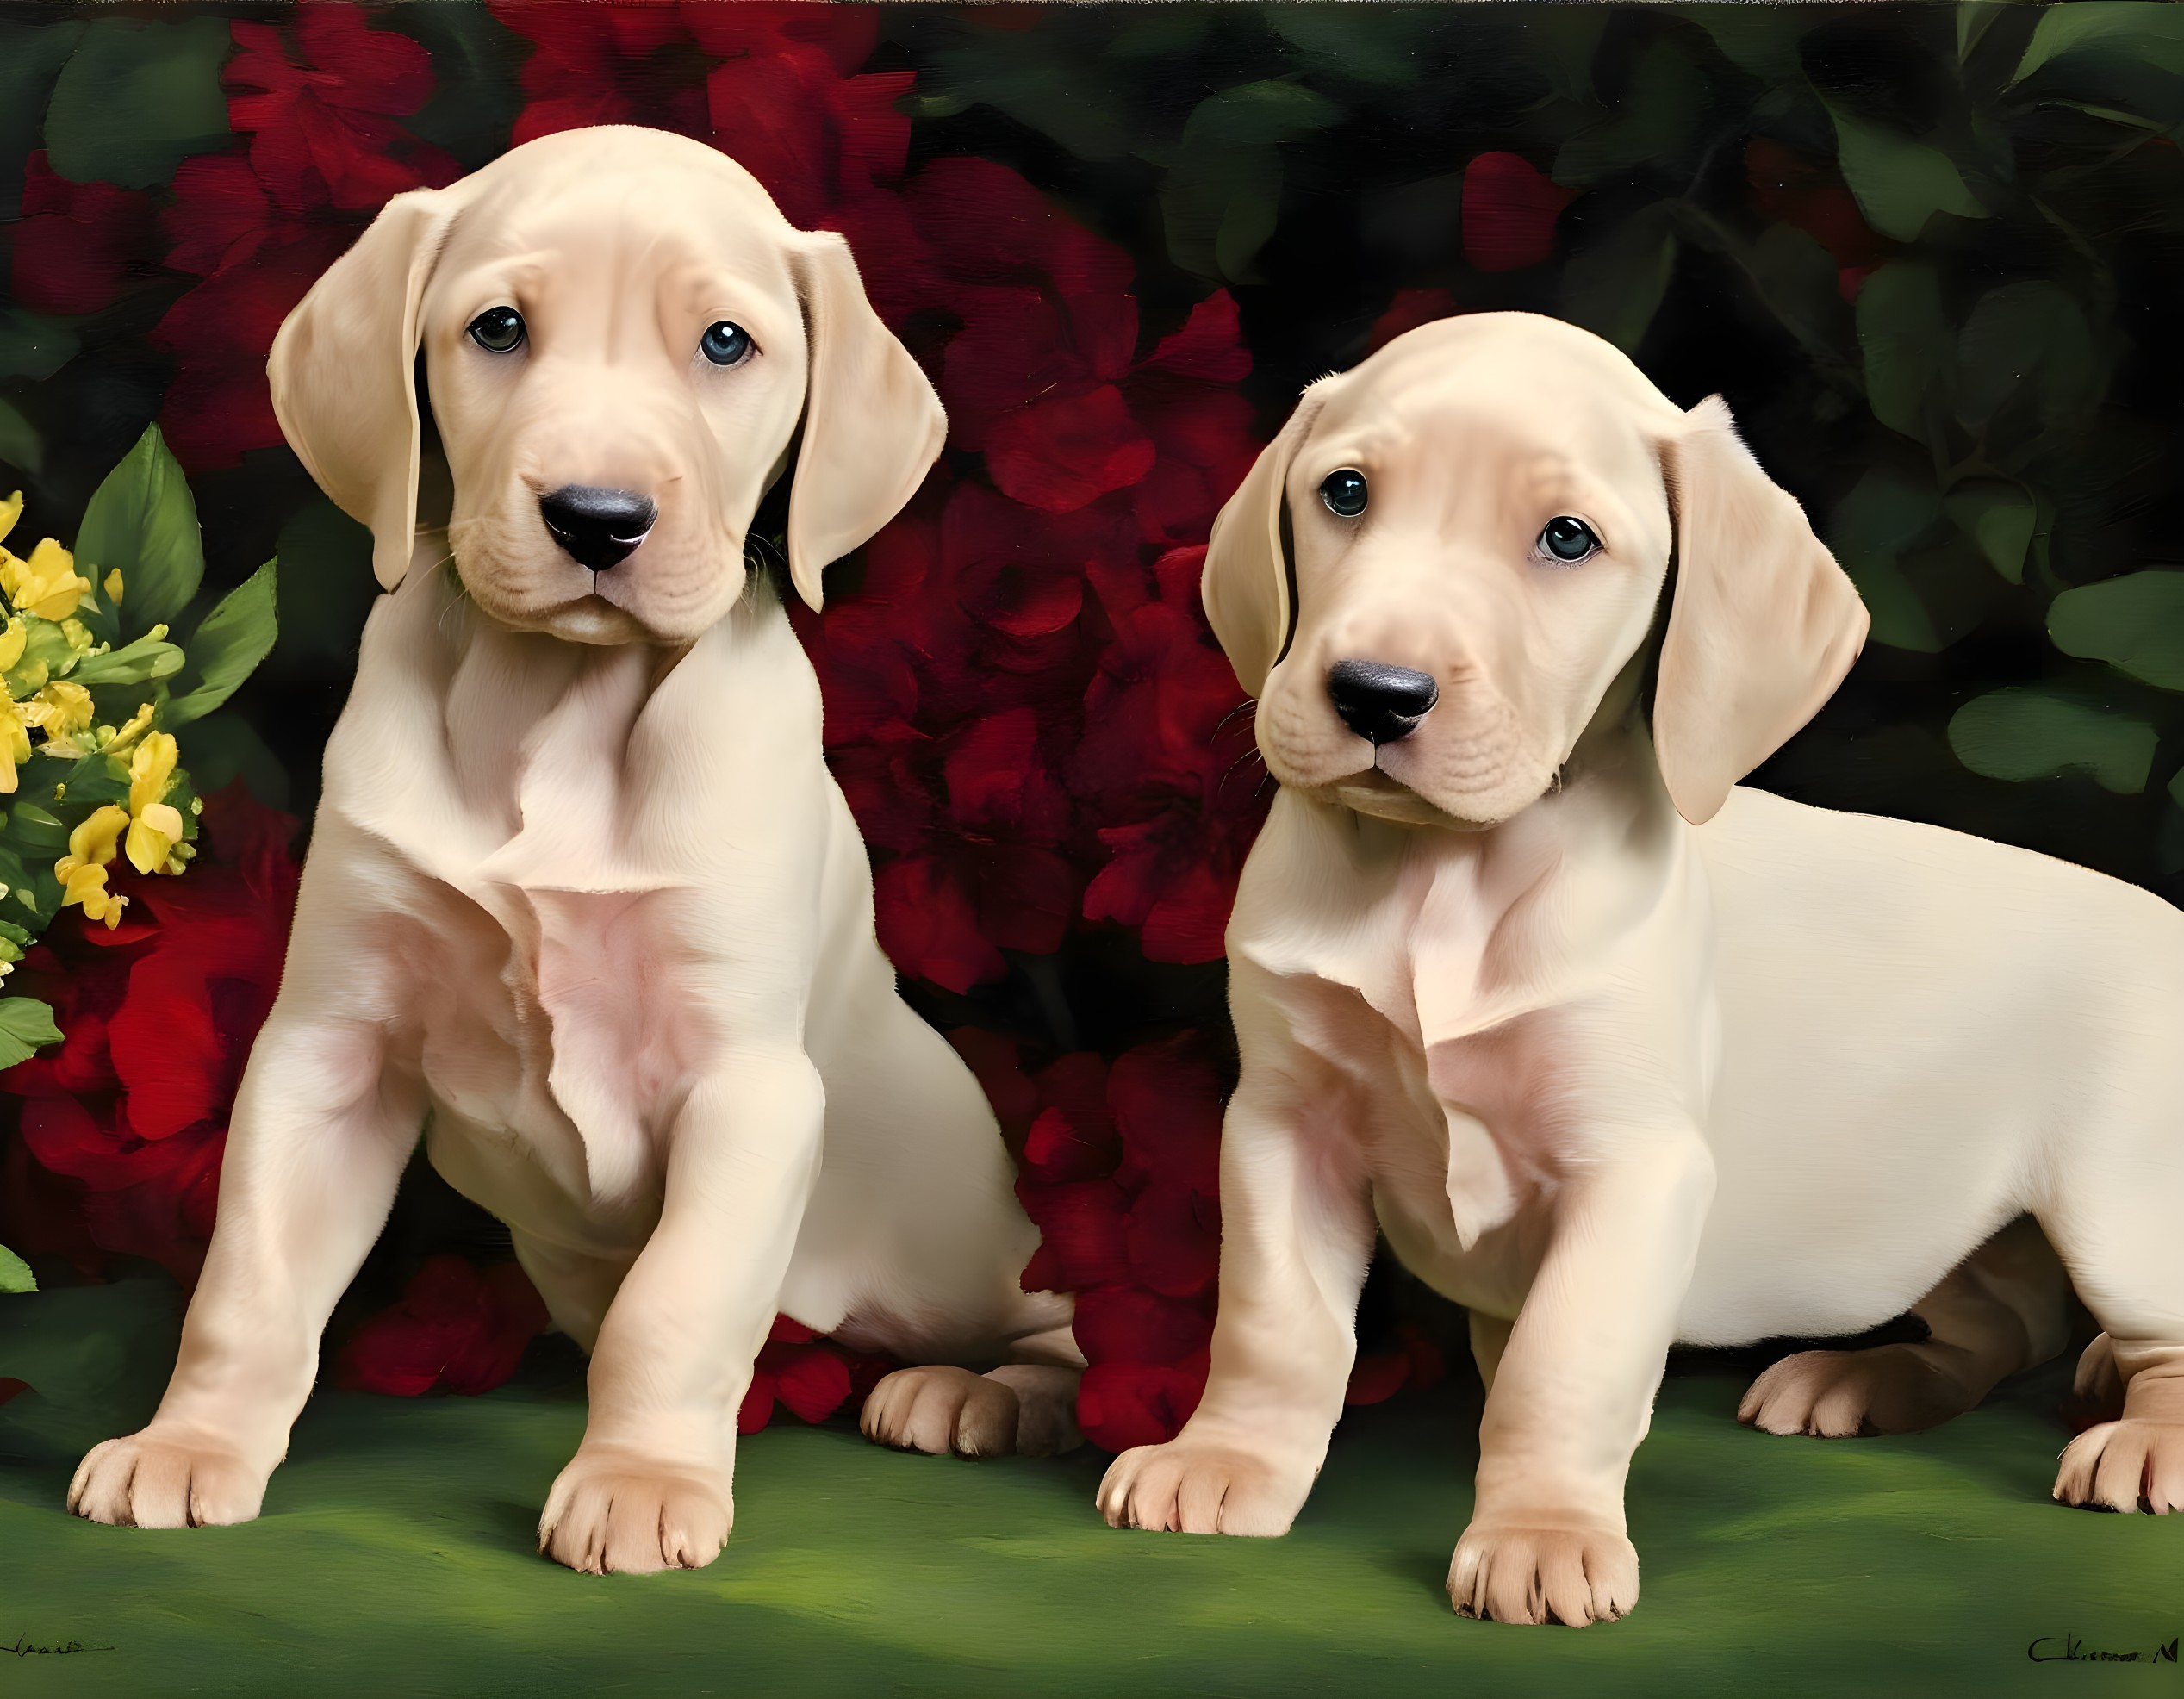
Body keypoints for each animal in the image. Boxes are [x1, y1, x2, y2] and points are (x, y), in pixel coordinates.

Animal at [72, 125, 1079, 1571]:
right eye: (497, 328)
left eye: (726, 343)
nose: (597, 518)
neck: (561, 713)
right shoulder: (327, 1046)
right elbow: (249, 1279)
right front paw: (190, 1444)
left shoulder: (745, 1084)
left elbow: (677, 1305)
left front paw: (642, 1482)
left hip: (945, 1224)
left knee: (1052, 1322)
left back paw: (979, 1396)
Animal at [1100, 309, 2184, 1624]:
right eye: (1343, 493)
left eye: (1566, 538)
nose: (1375, 694)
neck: (1441, 880)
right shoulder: (1281, 1123)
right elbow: (1274, 1320)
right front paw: (1228, 1460)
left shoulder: (1631, 1164)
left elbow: (1560, 1361)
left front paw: (1540, 1534)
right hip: (1924, 1216)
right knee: (2001, 1327)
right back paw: (1858, 1382)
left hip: (2122, 1205)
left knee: (2151, 1339)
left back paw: (2145, 1441)